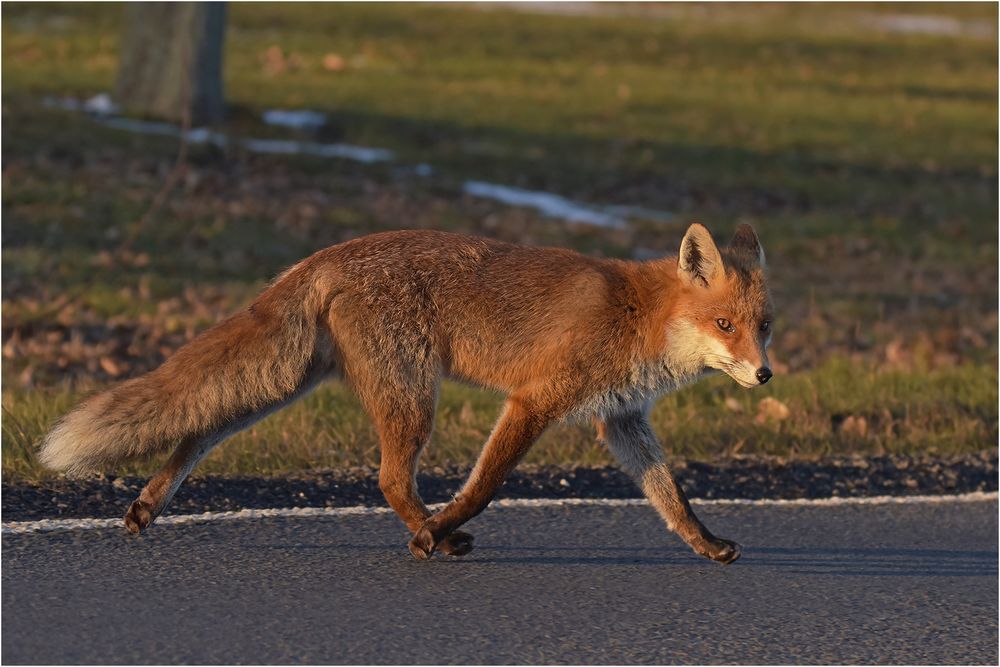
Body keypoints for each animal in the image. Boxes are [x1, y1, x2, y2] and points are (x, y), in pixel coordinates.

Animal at [39, 223, 772, 564]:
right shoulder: (534, 400)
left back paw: (147, 504)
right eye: (724, 325)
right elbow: (483, 487)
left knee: (198, 429)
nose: (766, 375)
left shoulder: (619, 419)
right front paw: (442, 527)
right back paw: (432, 536)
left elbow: (673, 498)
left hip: (285, 385)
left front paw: (707, 544)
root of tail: (329, 253)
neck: (638, 315)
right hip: (413, 395)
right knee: (390, 478)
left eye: (763, 327)